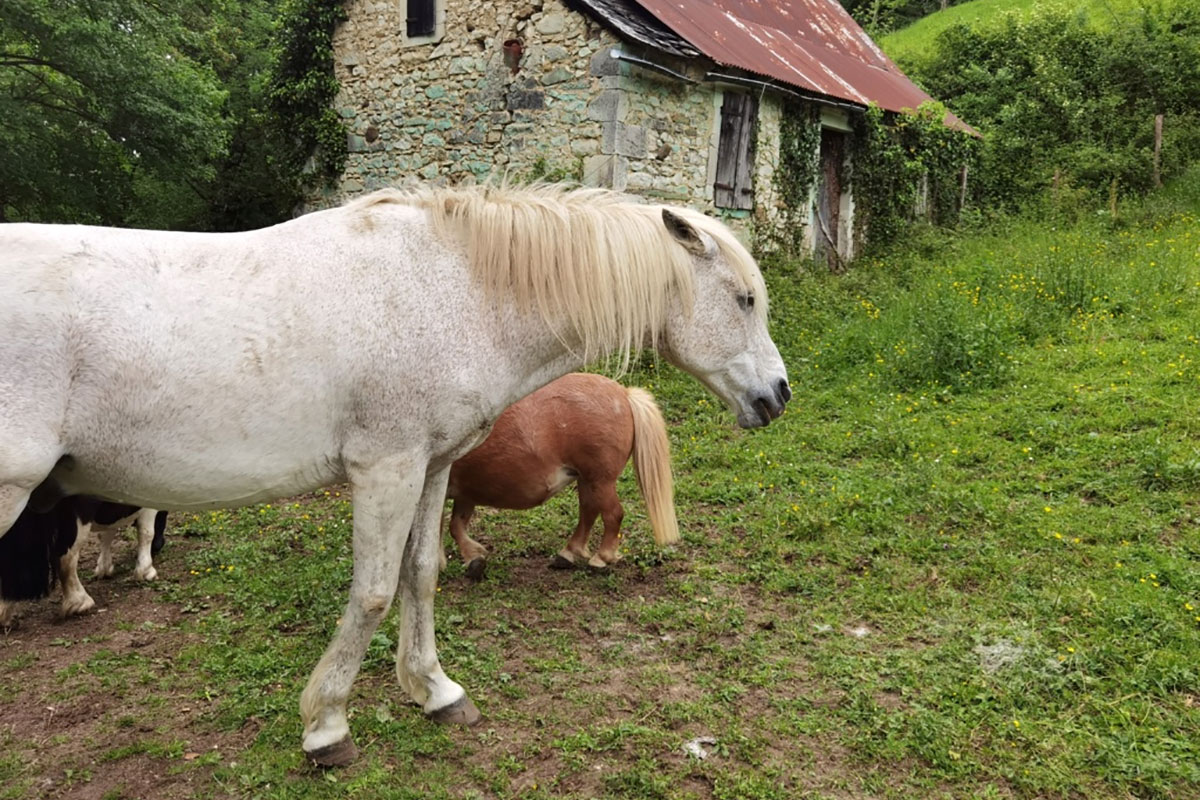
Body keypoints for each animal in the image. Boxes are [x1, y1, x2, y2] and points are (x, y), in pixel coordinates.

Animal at [446, 372, 677, 579]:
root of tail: (623, 394)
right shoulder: (464, 493)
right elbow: (455, 525)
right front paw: (473, 558)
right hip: (587, 480)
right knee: (589, 511)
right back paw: (569, 554)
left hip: (600, 480)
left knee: (613, 514)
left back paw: (601, 558)